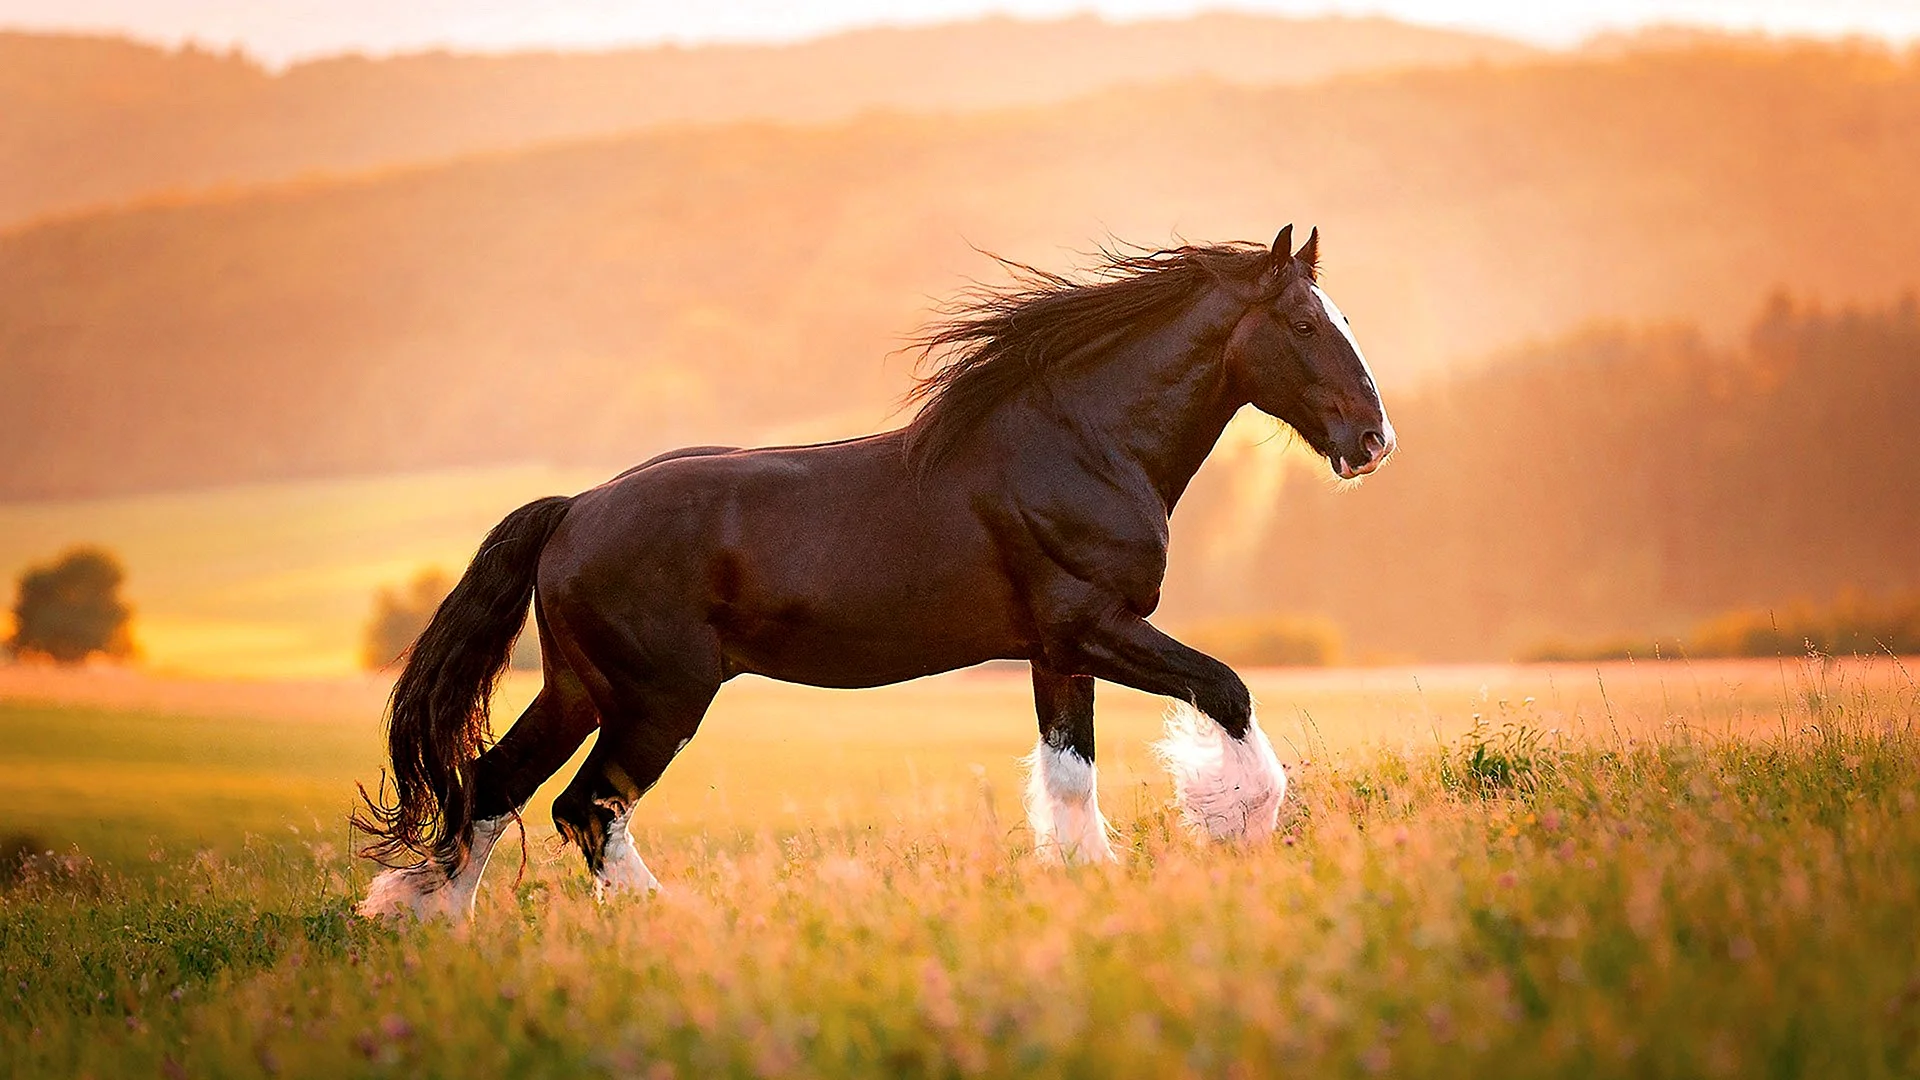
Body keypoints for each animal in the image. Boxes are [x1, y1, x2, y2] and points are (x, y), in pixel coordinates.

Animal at [353, 222, 1397, 910]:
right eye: (1307, 325)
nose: (1373, 441)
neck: (1085, 446)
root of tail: (571, 512)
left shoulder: (1057, 653)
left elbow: (1071, 776)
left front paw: (1088, 885)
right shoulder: (1096, 627)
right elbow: (1227, 690)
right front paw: (1236, 828)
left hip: (578, 686)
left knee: (492, 787)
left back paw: (433, 927)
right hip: (657, 699)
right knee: (586, 810)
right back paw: (665, 921)